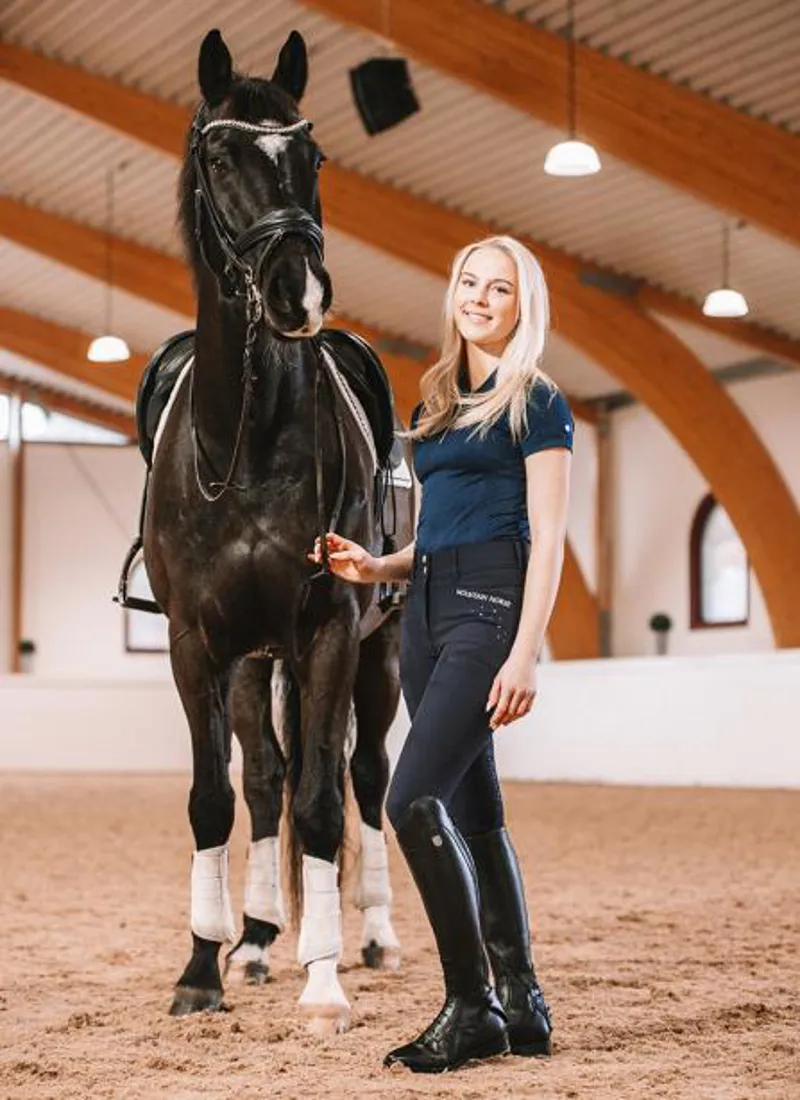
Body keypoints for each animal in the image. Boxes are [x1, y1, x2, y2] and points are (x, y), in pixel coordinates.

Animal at [140, 27, 413, 1034]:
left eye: (313, 156)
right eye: (221, 156)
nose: (297, 292)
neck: (249, 439)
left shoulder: (329, 630)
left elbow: (326, 805)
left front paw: (325, 981)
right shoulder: (197, 644)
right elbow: (215, 800)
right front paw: (202, 968)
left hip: (376, 654)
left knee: (363, 775)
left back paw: (371, 935)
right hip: (254, 663)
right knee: (264, 780)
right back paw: (256, 940)